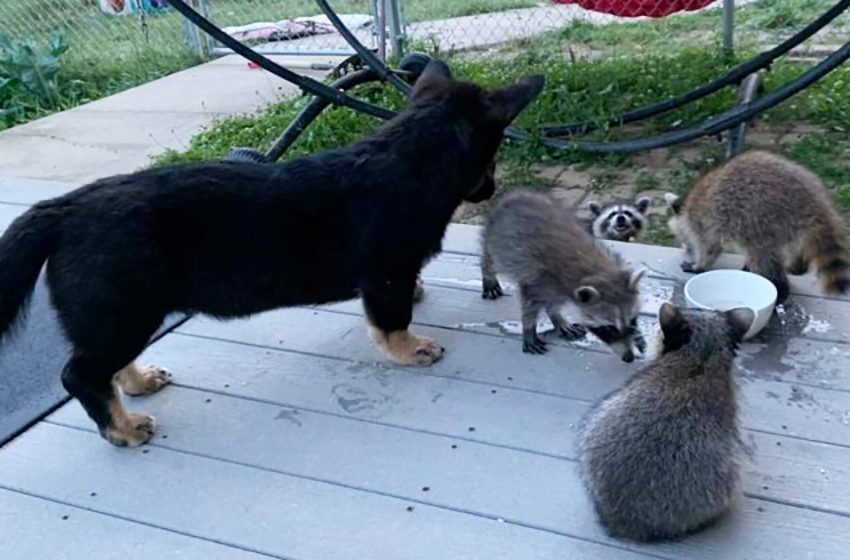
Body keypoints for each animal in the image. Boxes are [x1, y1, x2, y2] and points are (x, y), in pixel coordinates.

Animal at [0, 61, 544, 446]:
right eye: (492, 156)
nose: (488, 189)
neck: (410, 156)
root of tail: (63, 209)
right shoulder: (386, 275)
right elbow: (392, 322)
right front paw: (411, 349)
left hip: (121, 317)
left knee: (104, 366)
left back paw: (137, 383)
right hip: (125, 312)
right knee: (78, 374)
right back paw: (122, 429)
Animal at [480, 190, 644, 360]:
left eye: (632, 321)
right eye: (609, 329)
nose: (629, 357)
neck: (598, 270)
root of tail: (514, 196)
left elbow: (553, 303)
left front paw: (556, 317)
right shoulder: (538, 278)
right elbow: (530, 305)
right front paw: (529, 326)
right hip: (498, 239)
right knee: (490, 257)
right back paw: (488, 273)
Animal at [664, 150, 844, 302]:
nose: (685, 247)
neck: (687, 205)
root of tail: (814, 202)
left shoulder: (703, 224)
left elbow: (710, 248)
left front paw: (699, 265)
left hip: (761, 217)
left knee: (761, 255)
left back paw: (779, 286)